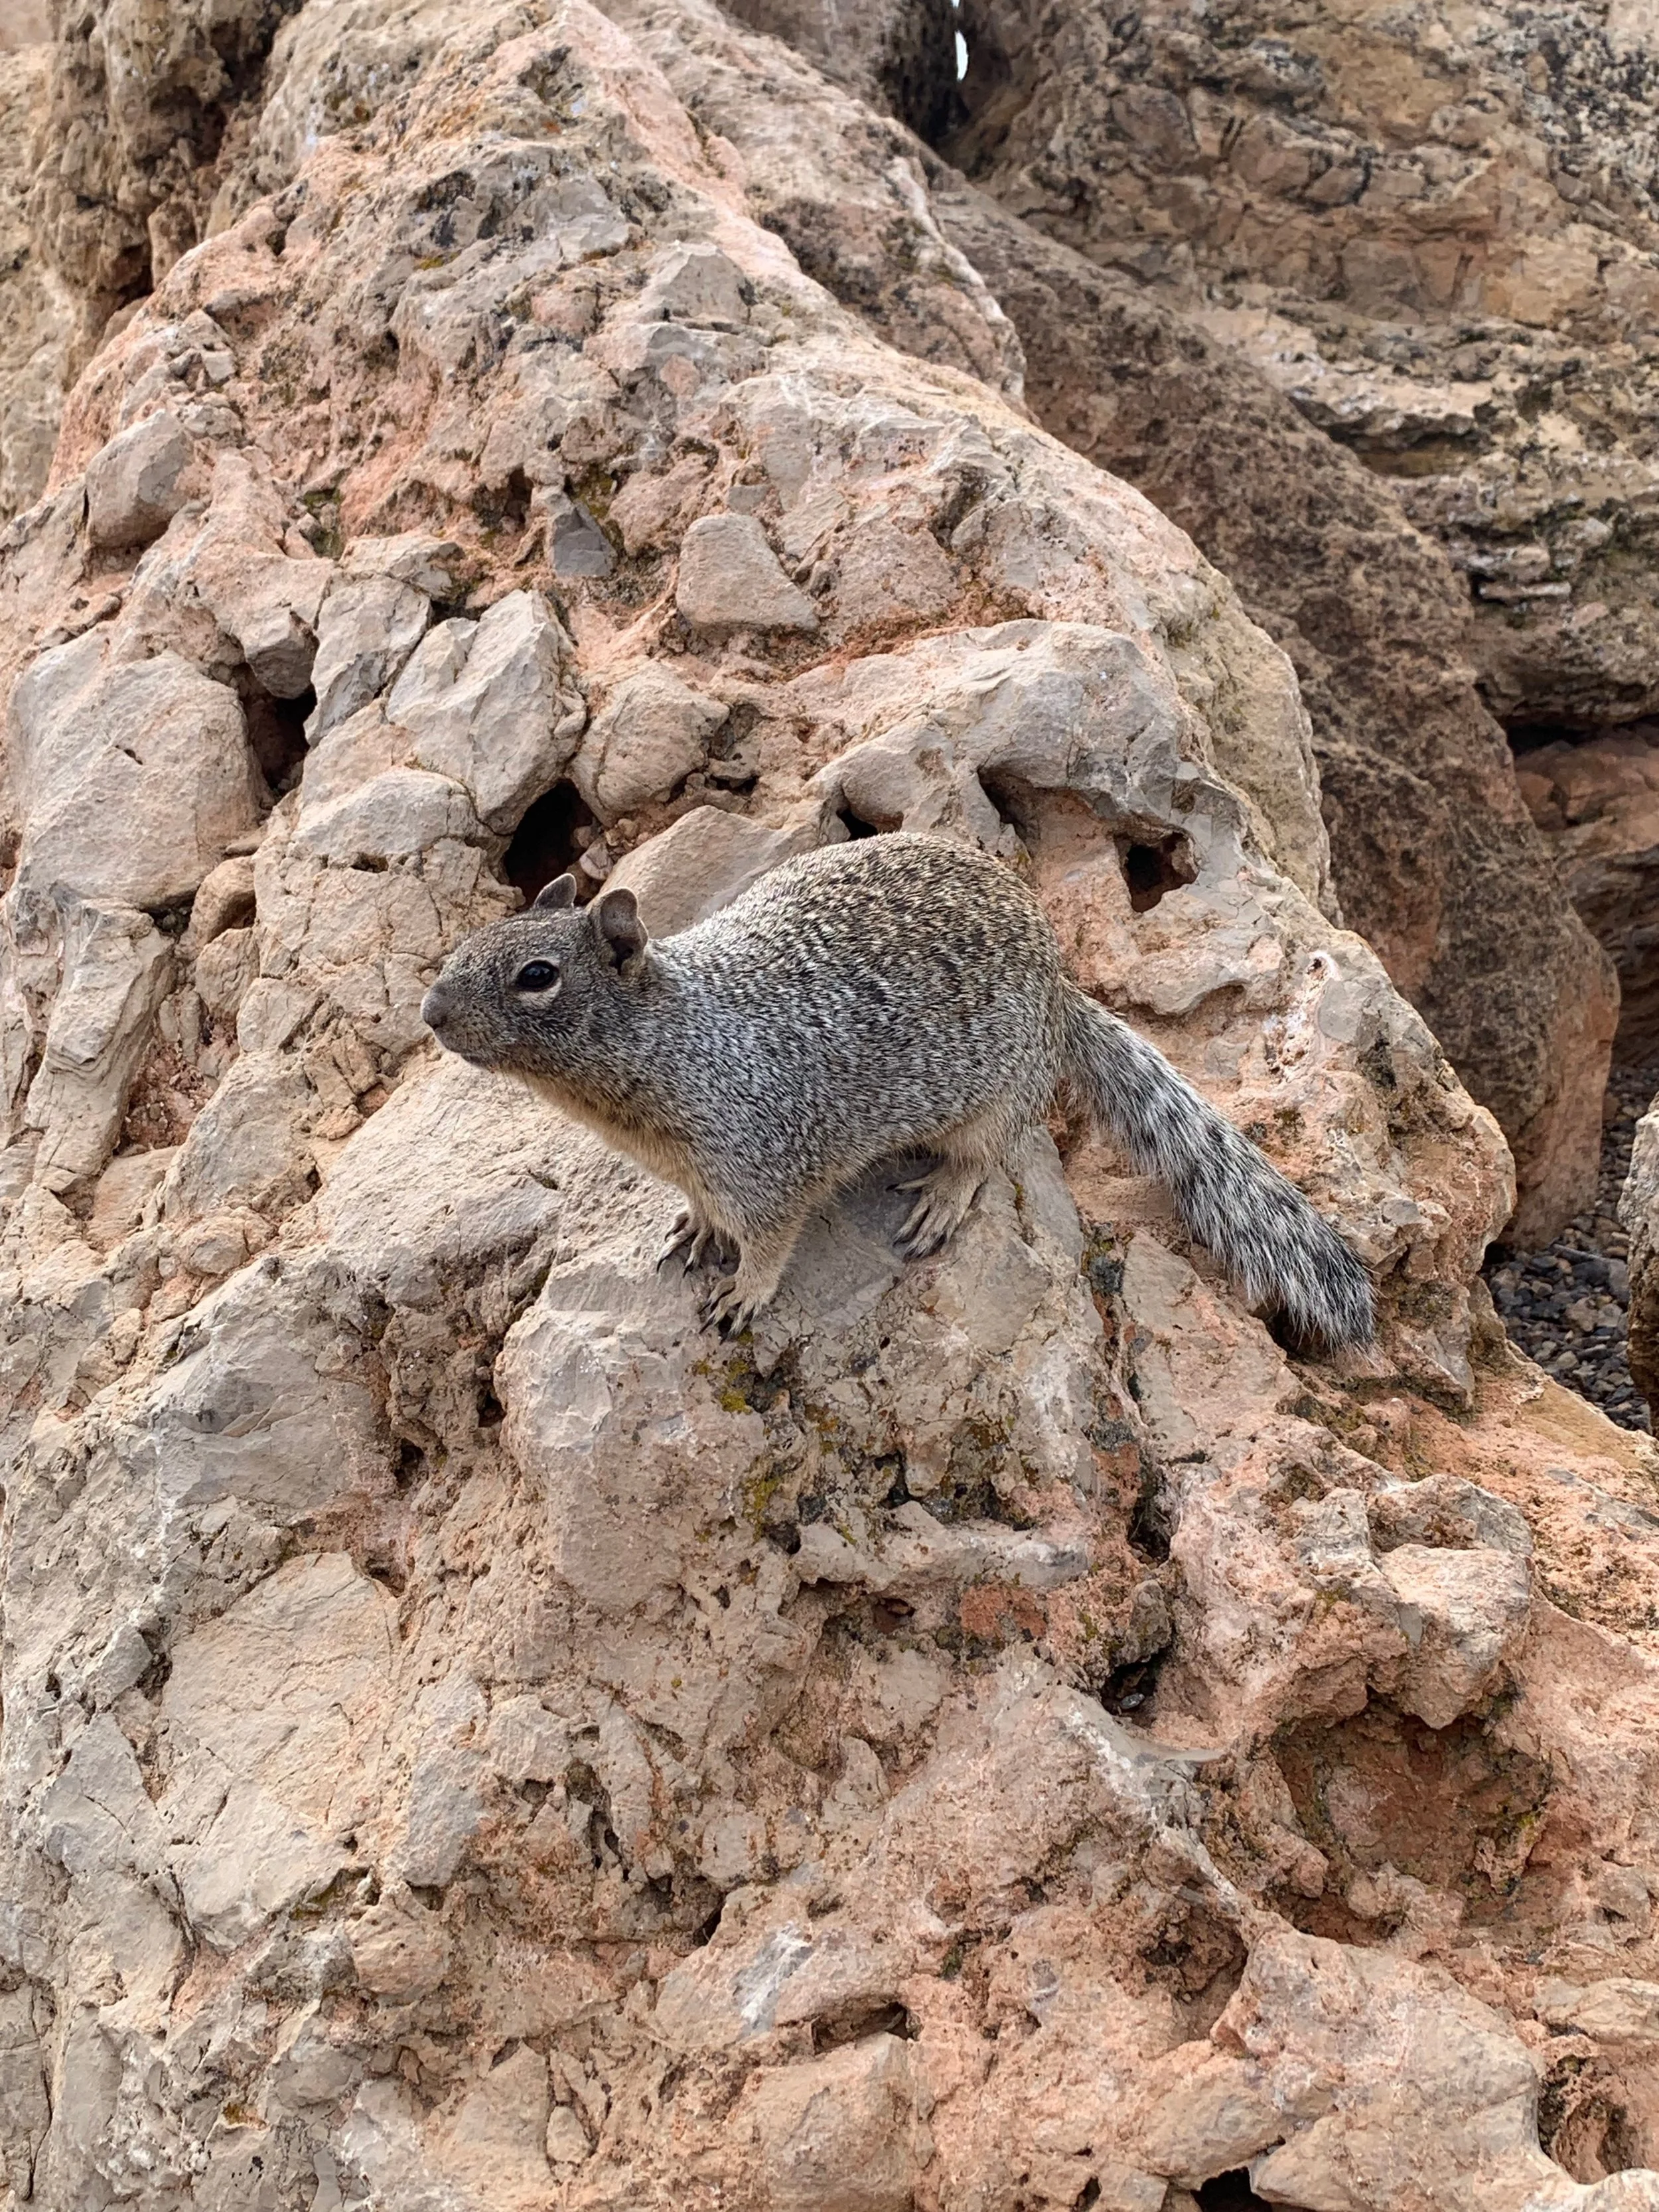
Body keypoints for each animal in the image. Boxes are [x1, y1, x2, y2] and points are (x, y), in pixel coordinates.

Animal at [420, 832, 1374, 1347]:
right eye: (469, 942)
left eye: (536, 976)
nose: (429, 1011)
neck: (679, 1040)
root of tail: (1062, 990)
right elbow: (701, 1208)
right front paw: (694, 1227)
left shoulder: (768, 1163)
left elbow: (771, 1242)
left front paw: (743, 1291)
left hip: (993, 1100)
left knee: (989, 1154)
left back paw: (944, 1198)